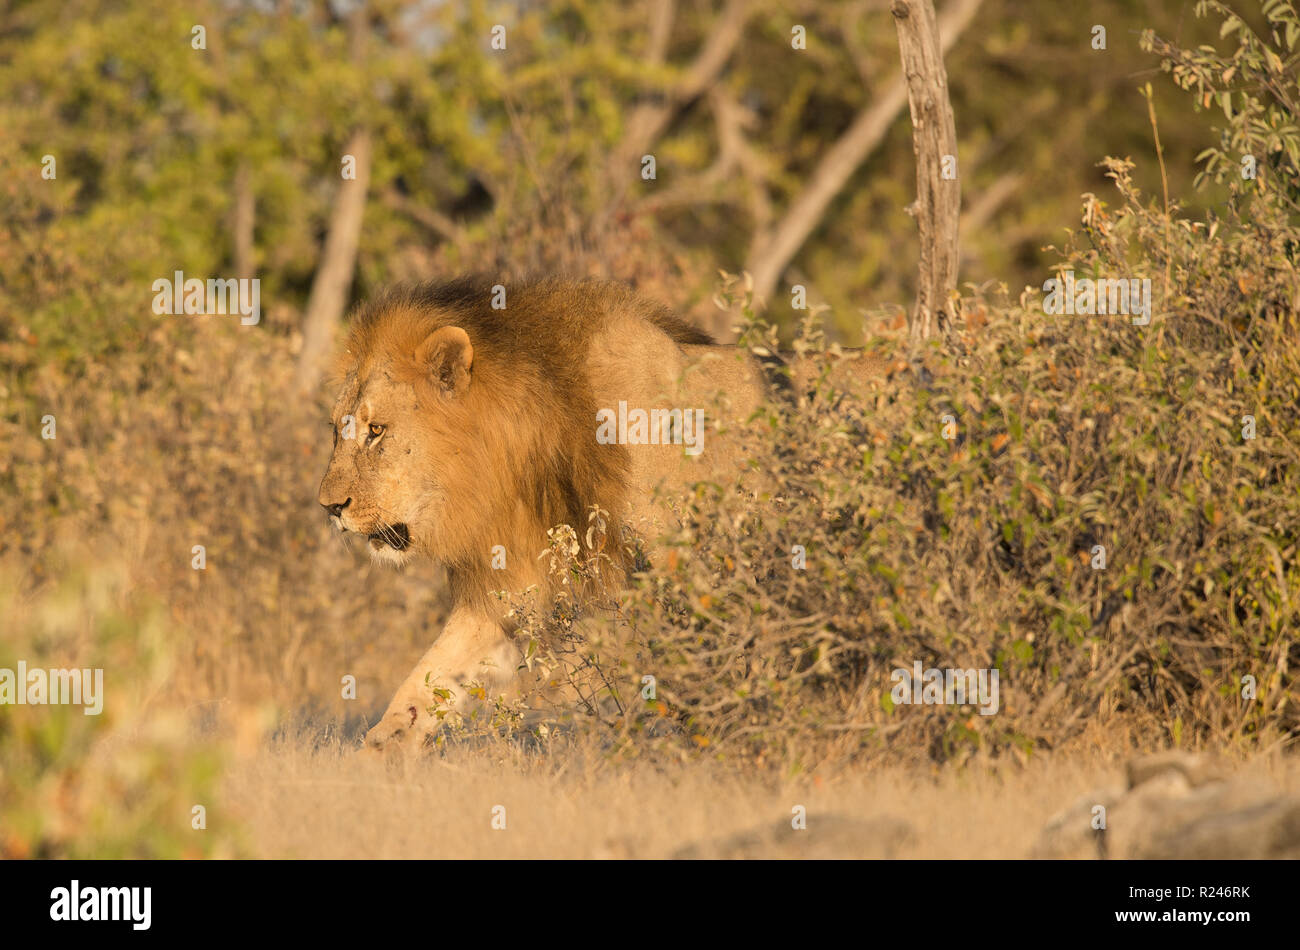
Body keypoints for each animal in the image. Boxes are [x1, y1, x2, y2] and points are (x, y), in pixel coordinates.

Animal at [317, 275, 886, 752]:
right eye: (337, 428)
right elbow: (428, 681)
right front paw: (376, 762)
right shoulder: (513, 583)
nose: (329, 507)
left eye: (376, 431)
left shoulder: (685, 569)